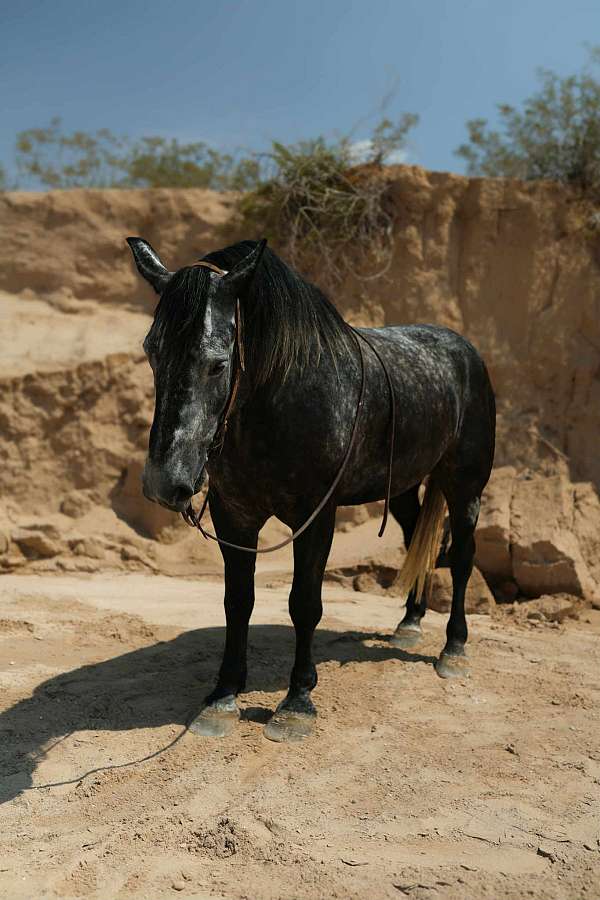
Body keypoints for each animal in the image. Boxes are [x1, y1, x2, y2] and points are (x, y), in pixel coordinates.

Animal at [126, 237, 496, 742]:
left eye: (217, 365)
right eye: (152, 351)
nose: (165, 483)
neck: (283, 397)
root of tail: (466, 351)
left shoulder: (316, 517)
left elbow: (304, 603)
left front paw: (297, 701)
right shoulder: (234, 516)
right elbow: (237, 601)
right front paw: (223, 695)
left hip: (466, 488)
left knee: (460, 558)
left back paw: (453, 650)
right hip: (403, 489)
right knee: (417, 544)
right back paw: (409, 622)